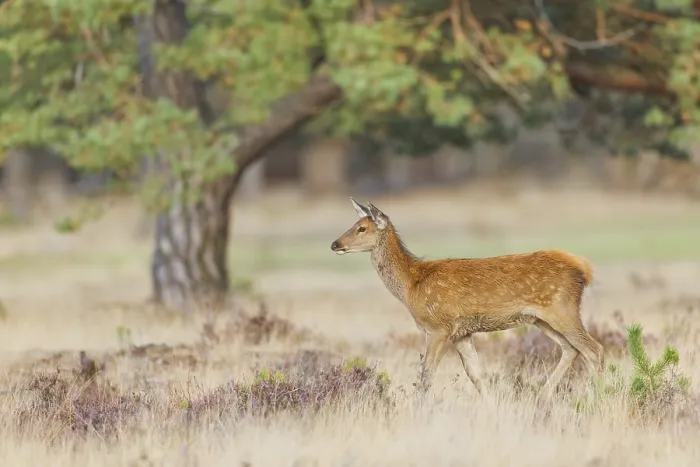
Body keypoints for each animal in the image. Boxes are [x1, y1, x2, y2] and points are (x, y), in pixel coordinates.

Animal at [330, 198, 604, 396]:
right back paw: (543, 396)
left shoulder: (438, 328)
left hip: (562, 308)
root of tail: (584, 269)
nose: (335, 244)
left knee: (595, 349)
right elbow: (477, 375)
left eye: (361, 228)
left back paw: (600, 394)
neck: (411, 285)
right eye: (353, 225)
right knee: (571, 349)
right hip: (542, 319)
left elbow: (426, 376)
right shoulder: (462, 333)